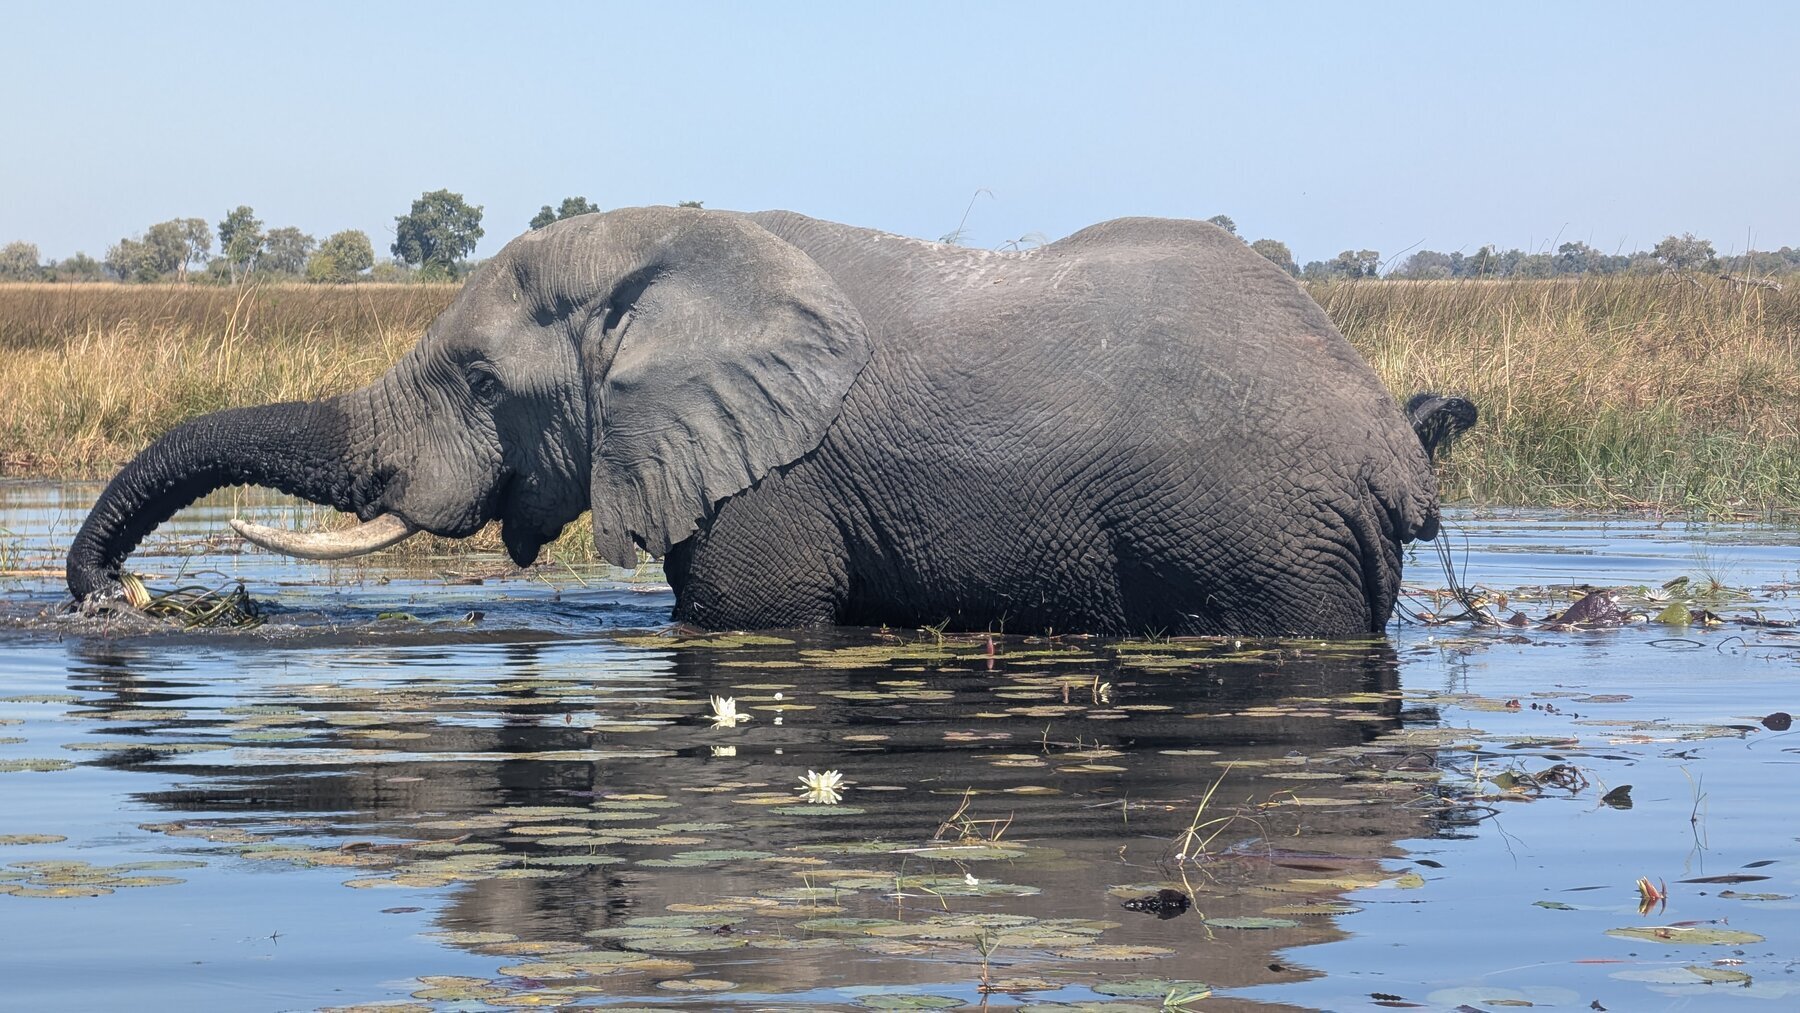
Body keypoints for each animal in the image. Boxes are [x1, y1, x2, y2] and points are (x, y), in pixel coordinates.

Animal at [66, 208, 1475, 636]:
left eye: (481, 382)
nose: (108, 592)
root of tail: (1391, 446)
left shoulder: (776, 485)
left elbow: (739, 618)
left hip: (1270, 550)